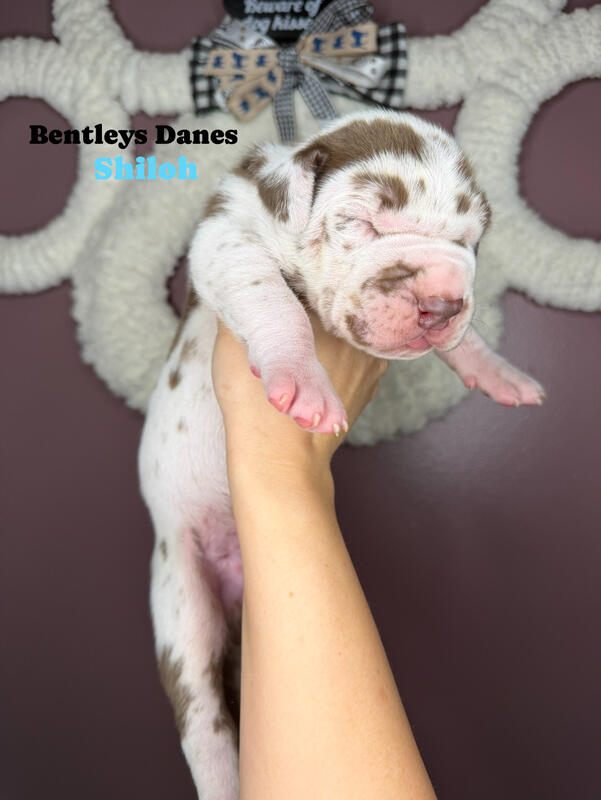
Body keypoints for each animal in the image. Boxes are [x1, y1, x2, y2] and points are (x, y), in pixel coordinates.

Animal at [138, 109, 545, 799]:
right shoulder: (224, 236)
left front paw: (499, 371)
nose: (441, 300)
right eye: (363, 221)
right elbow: (270, 297)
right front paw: (302, 379)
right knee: (205, 726)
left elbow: (467, 339)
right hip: (181, 606)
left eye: (468, 242)